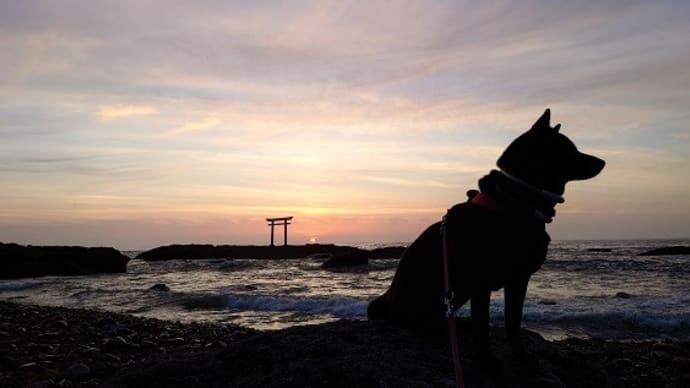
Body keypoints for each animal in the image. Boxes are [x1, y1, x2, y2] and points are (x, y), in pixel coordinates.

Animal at [366, 108, 600, 370]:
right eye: (569, 149)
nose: (602, 162)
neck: (515, 202)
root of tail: (387, 301)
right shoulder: (481, 283)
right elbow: (483, 326)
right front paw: (487, 362)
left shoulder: (518, 280)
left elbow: (512, 324)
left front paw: (522, 358)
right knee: (414, 320)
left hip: (457, 292)